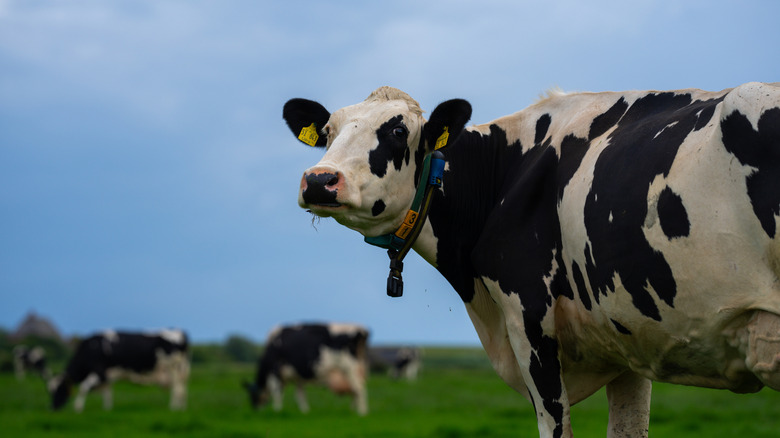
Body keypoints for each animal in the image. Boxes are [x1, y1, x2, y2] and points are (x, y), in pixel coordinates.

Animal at [49, 330, 189, 412]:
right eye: (50, 390)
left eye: (60, 389)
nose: (52, 408)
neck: (90, 349)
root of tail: (179, 332)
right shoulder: (106, 375)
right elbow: (107, 392)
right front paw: (107, 409)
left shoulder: (99, 372)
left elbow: (84, 387)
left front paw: (78, 408)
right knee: (182, 389)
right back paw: (181, 408)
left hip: (174, 369)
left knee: (177, 389)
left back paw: (174, 408)